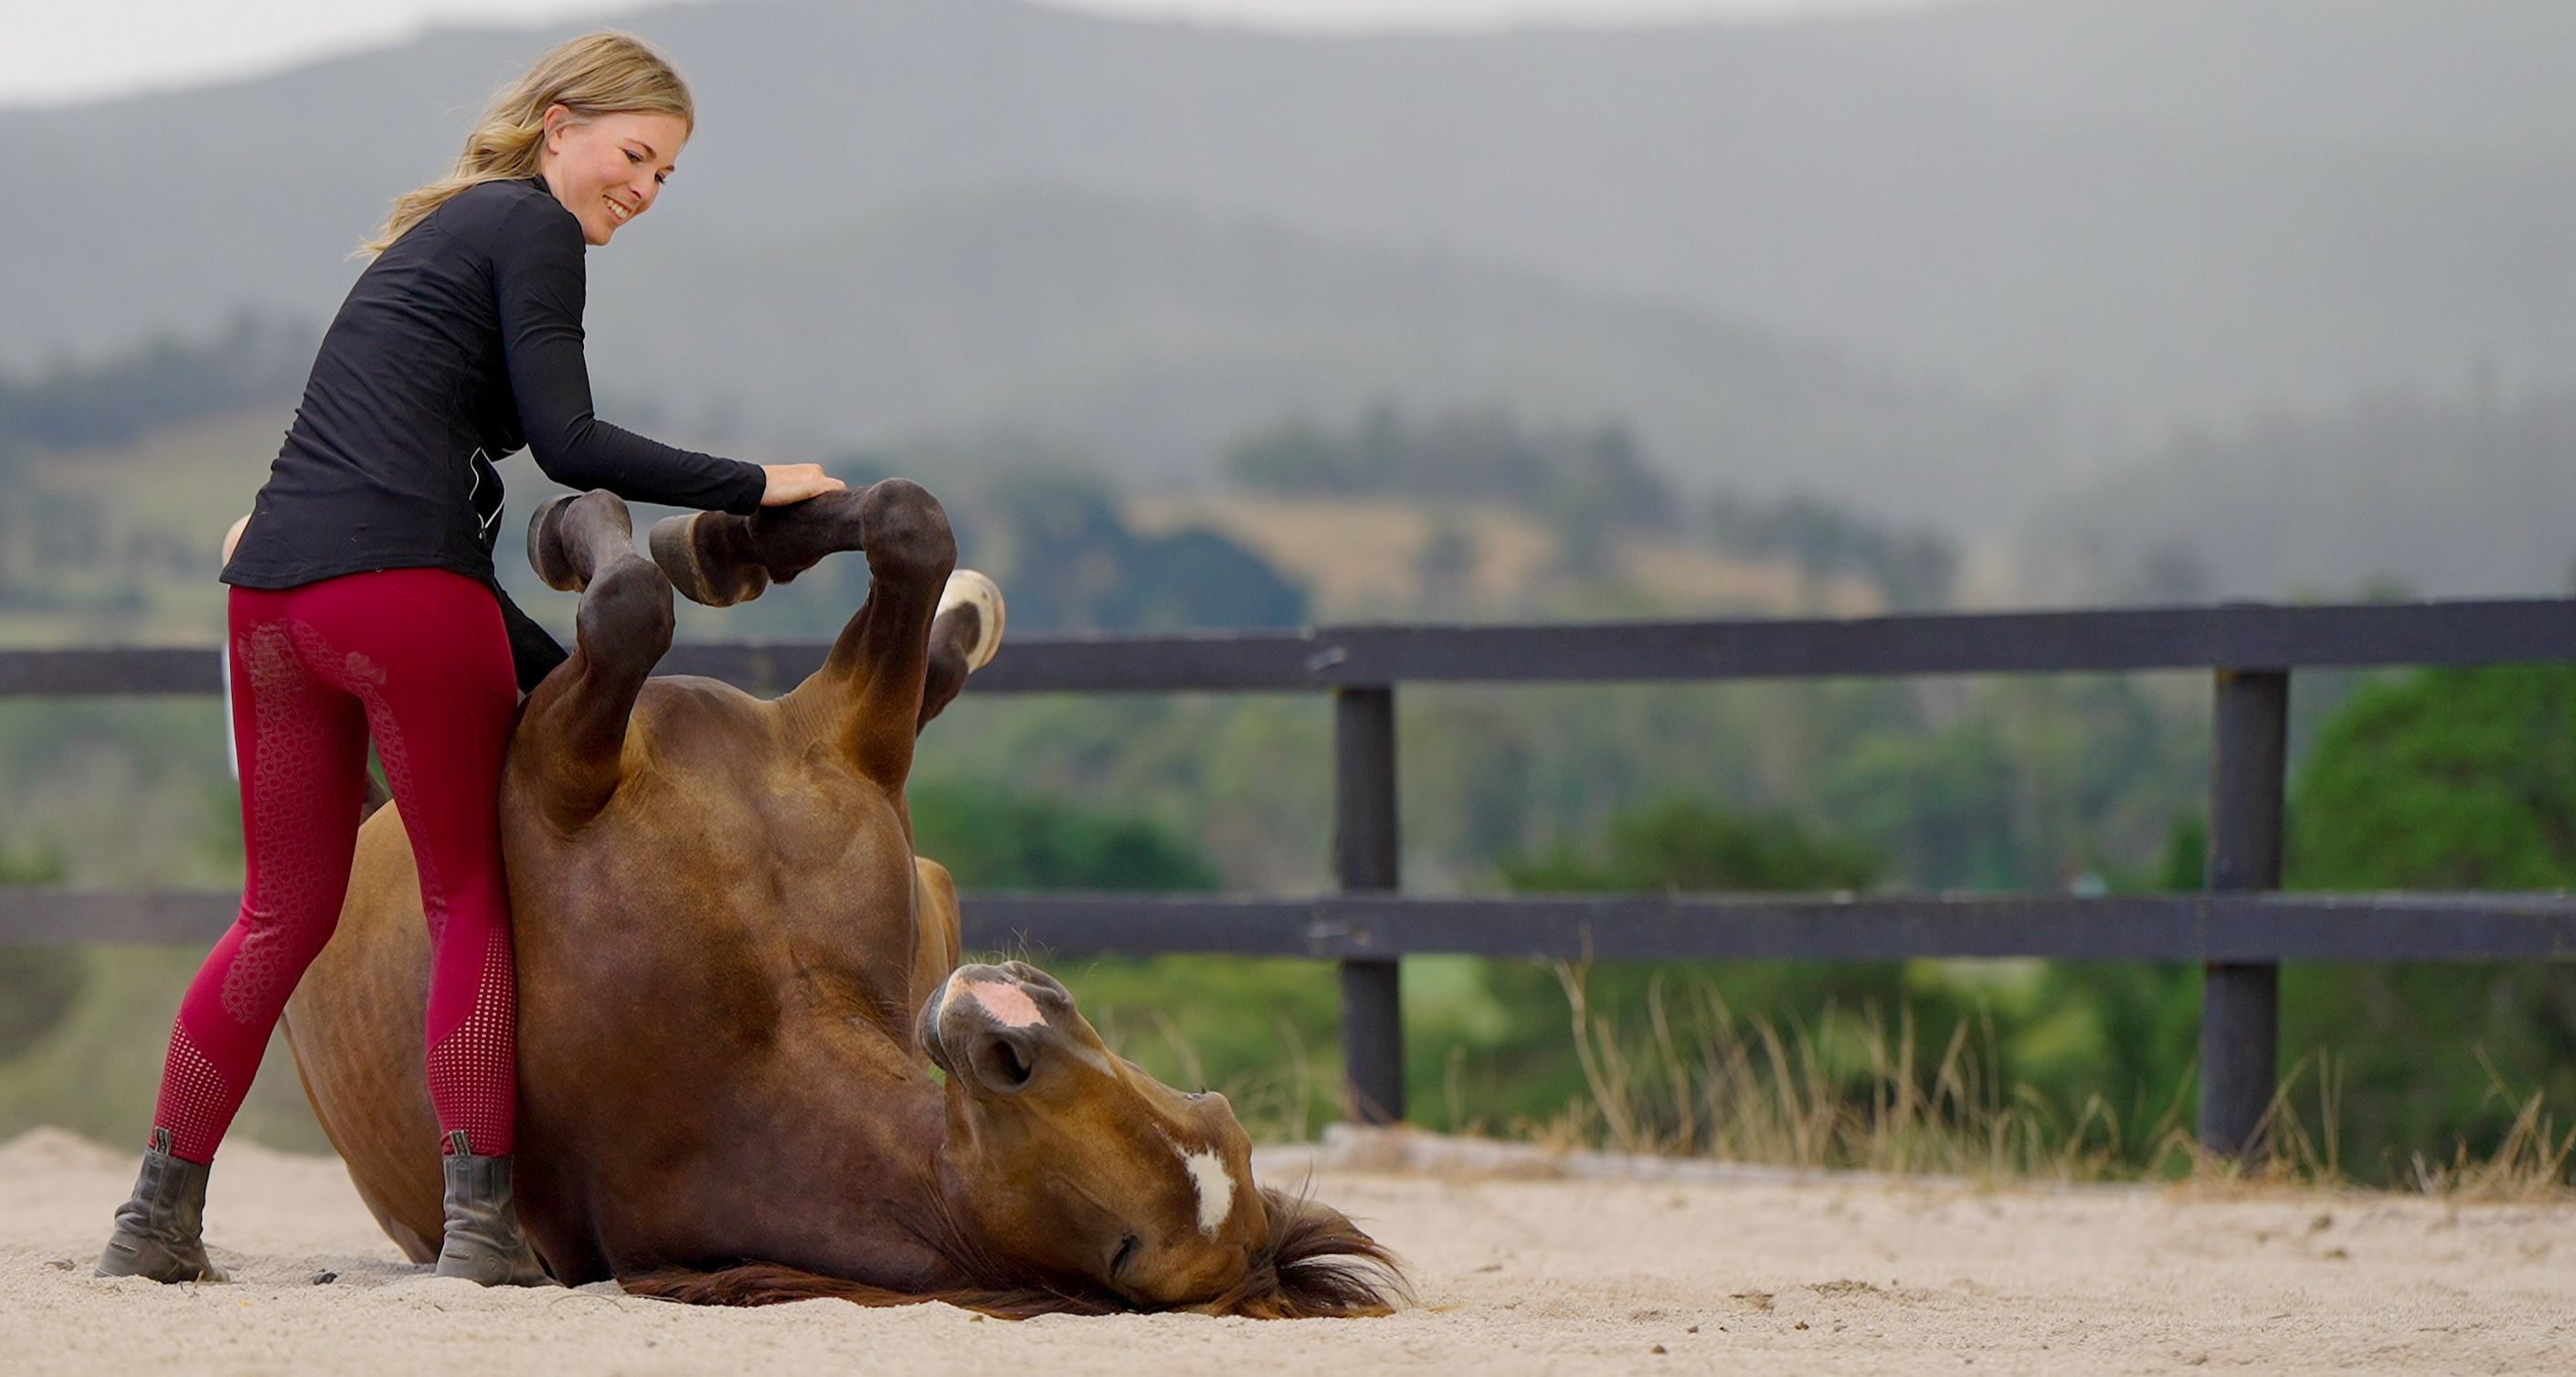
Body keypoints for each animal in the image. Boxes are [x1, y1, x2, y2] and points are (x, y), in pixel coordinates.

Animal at [278, 481, 1404, 1317]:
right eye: (1210, 1104)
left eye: (1128, 1251)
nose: (1017, 1024)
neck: (769, 1017)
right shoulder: (849, 740)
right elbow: (909, 528)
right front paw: (727, 539)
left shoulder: (557, 772)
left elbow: (629, 605)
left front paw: (578, 526)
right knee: (925, 641)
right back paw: (951, 610)